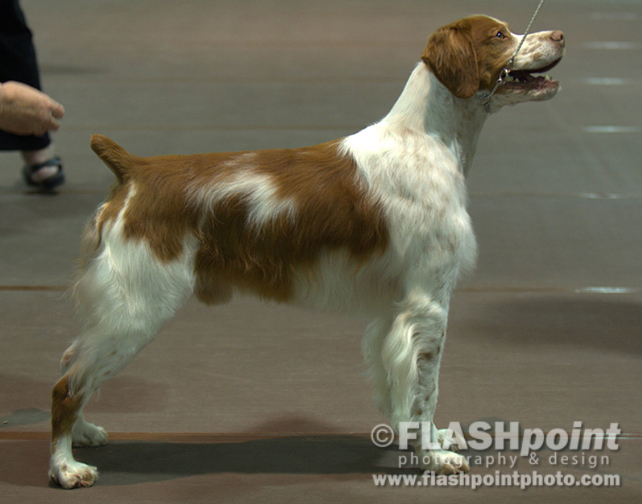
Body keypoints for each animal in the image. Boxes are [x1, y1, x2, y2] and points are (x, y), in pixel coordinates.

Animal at [49, 15, 564, 488]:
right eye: (499, 35)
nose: (560, 35)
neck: (429, 139)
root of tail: (135, 170)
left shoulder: (394, 307)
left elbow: (398, 385)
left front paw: (425, 439)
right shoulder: (428, 303)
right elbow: (425, 388)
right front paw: (434, 457)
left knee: (73, 360)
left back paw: (85, 433)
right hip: (137, 309)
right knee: (65, 386)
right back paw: (66, 468)